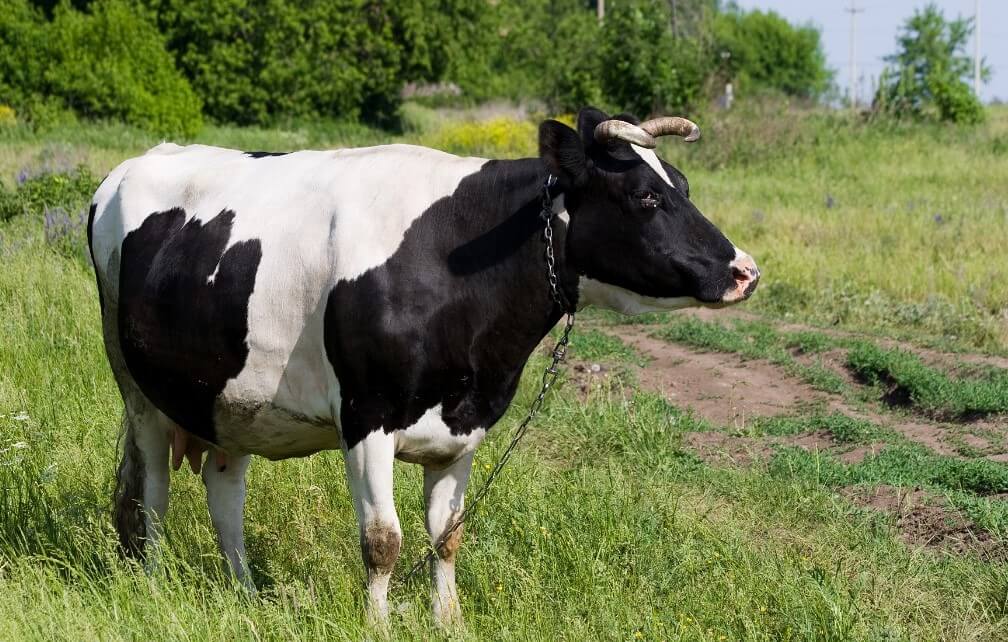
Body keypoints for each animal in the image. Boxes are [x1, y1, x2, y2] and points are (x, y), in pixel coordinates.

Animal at [87, 107, 759, 627]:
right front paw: (379, 625)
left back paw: (247, 592)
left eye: (684, 185)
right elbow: (383, 540)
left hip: (231, 399)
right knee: (151, 490)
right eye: (646, 196)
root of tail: (131, 165)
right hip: (136, 384)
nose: (745, 271)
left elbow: (447, 534)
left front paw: (449, 620)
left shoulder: (465, 428)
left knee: (223, 487)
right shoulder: (366, 416)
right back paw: (154, 581)